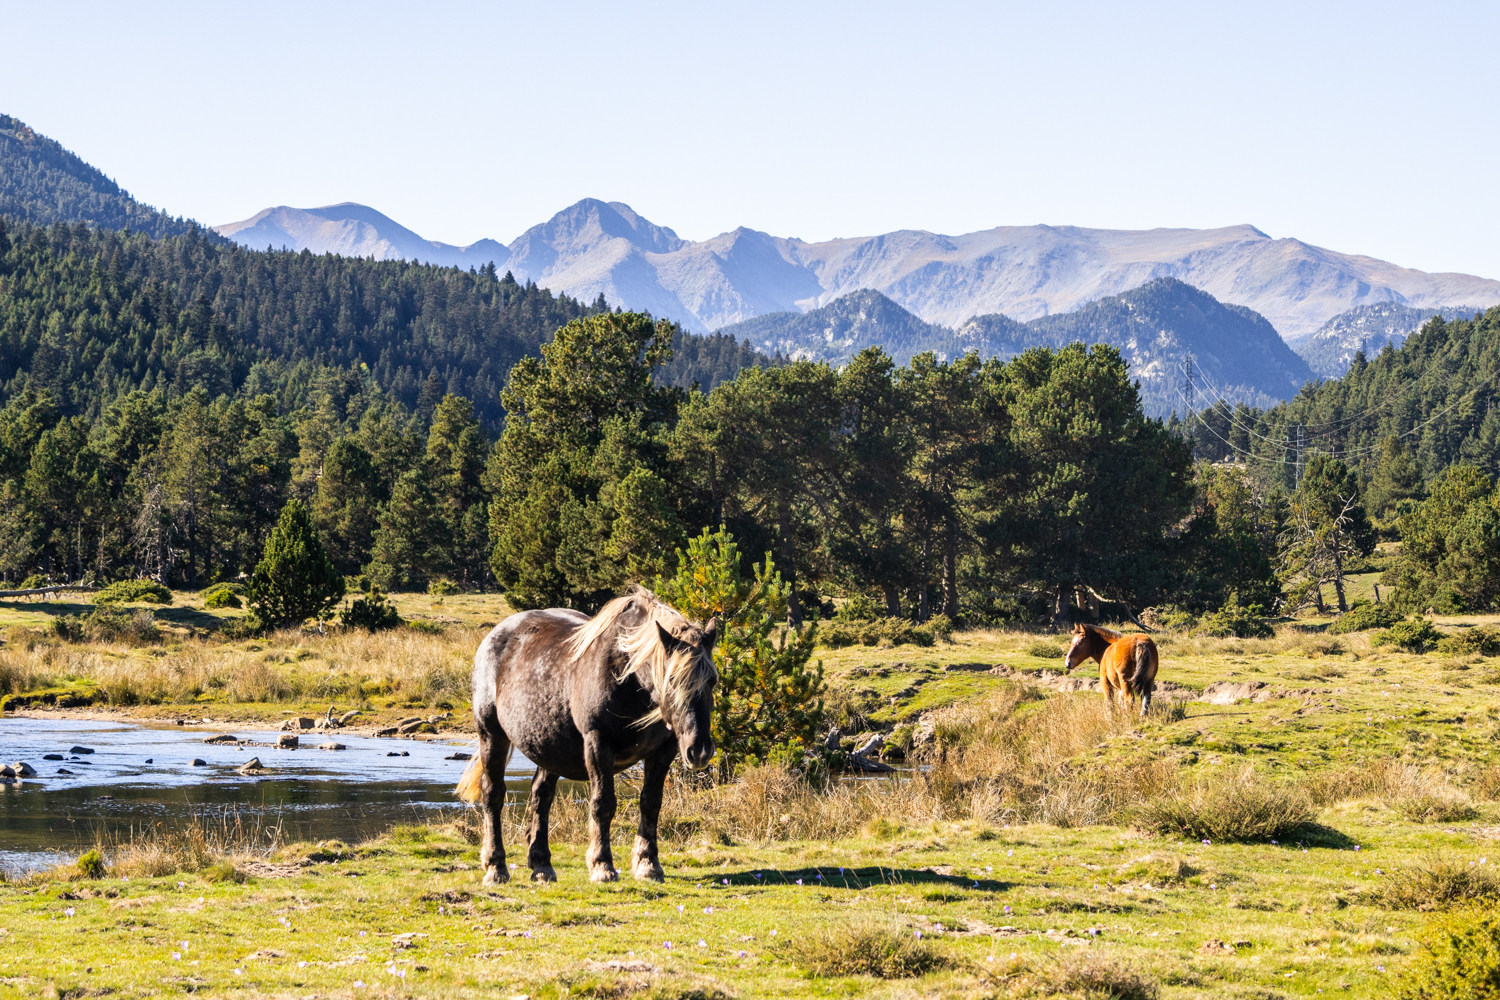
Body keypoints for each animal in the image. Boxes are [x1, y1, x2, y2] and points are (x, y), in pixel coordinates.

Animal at [455, 587, 718, 885]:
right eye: (672, 680)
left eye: (712, 681)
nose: (700, 751)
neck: (628, 677)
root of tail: (496, 634)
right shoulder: (598, 744)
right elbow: (602, 804)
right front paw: (602, 865)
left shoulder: (665, 749)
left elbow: (651, 803)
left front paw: (648, 864)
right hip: (492, 735)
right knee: (493, 795)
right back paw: (496, 867)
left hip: (549, 746)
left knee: (540, 797)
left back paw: (542, 865)